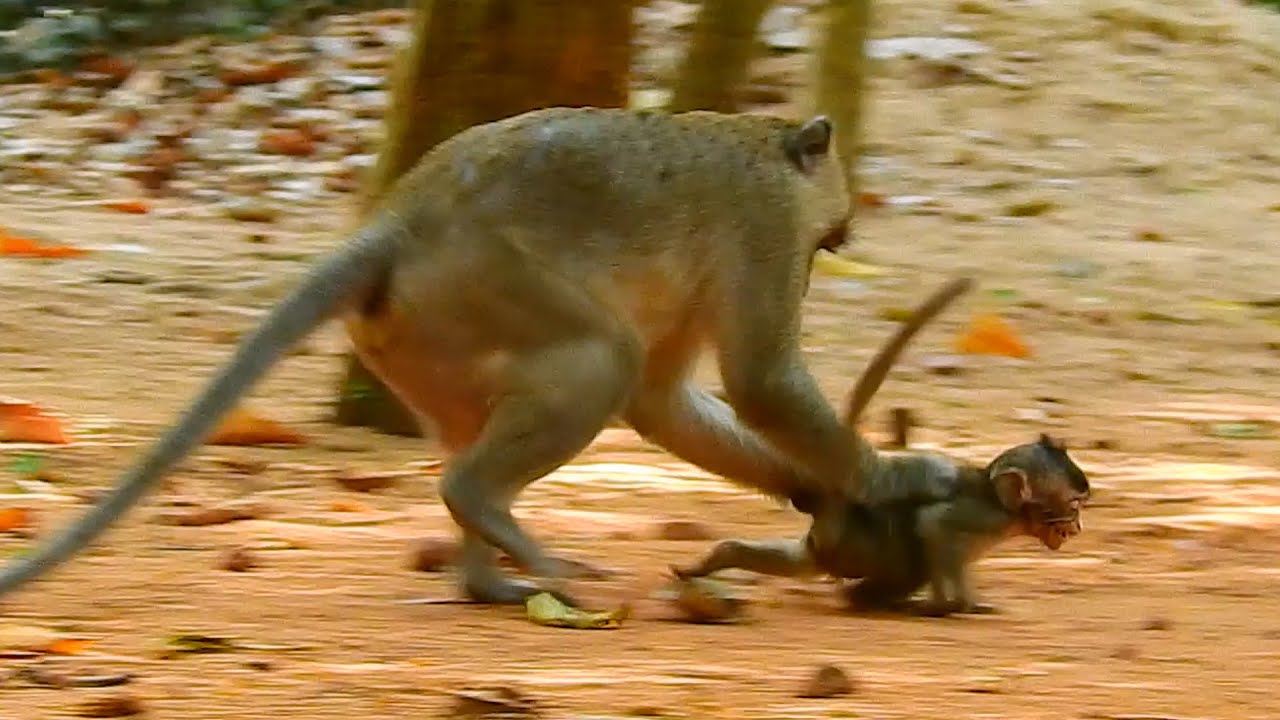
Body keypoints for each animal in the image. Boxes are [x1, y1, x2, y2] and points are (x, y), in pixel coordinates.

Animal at [0, 106, 925, 607]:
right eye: (826, 240)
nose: (818, 269)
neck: (755, 139)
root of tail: (401, 220)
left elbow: (663, 400)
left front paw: (814, 487)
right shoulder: (761, 224)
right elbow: (757, 383)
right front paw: (883, 479)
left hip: (415, 333)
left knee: (503, 409)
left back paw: (486, 572)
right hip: (478, 281)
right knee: (600, 355)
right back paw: (487, 513)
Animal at [673, 278, 1091, 617]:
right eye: (1071, 505)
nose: (1076, 527)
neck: (1002, 503)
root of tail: (838, 508)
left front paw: (963, 603)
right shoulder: (984, 516)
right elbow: (933, 524)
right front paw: (951, 605)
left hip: (830, 545)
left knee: (798, 560)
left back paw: (718, 558)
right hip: (863, 547)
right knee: (908, 562)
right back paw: (872, 600)